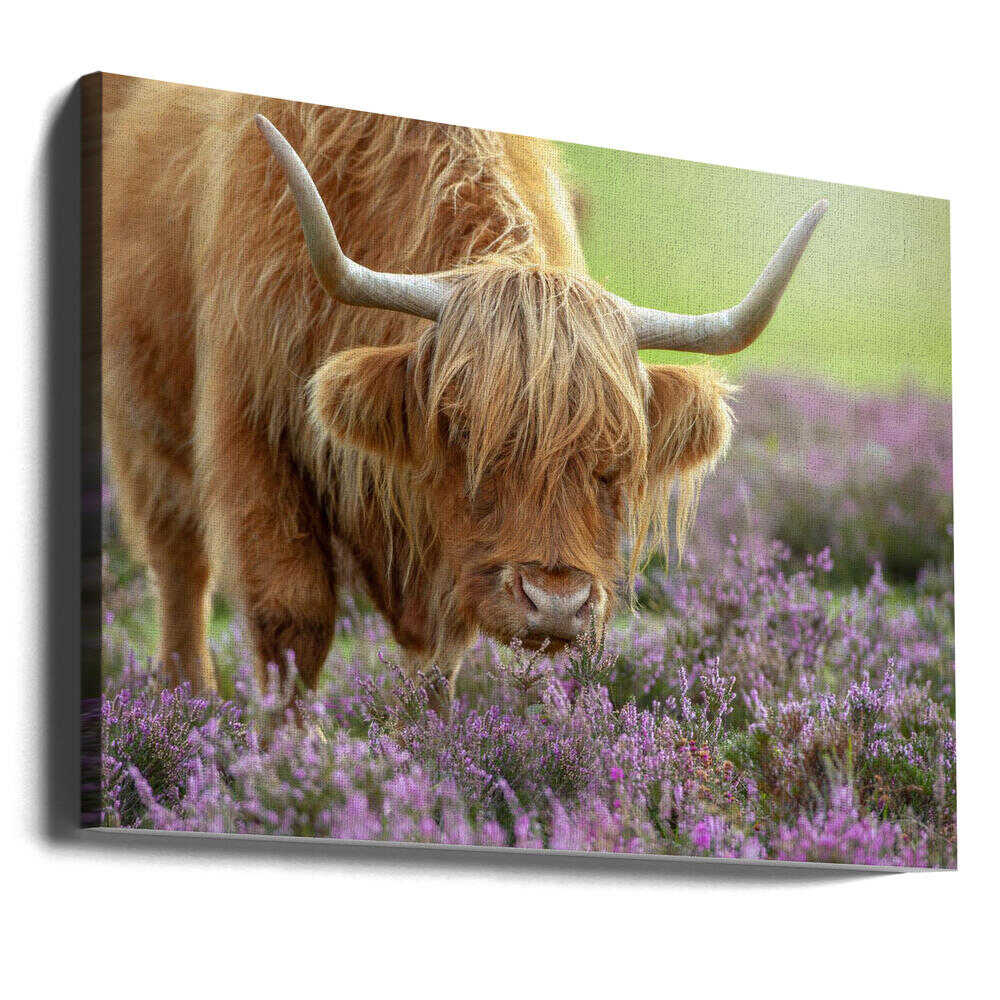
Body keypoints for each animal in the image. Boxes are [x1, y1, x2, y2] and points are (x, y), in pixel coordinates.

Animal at [102, 75, 826, 703]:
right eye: (464, 434)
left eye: (614, 461)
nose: (555, 603)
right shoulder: (252, 434)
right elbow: (292, 617)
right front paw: (290, 759)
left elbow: (438, 657)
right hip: (141, 424)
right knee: (178, 565)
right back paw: (187, 698)